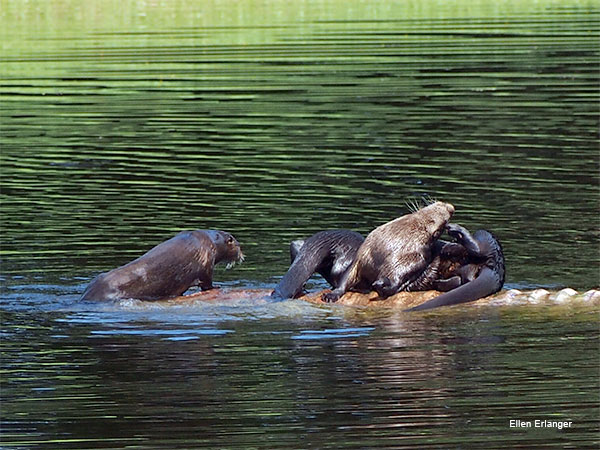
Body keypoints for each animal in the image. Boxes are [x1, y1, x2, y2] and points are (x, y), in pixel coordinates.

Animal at [79, 230, 244, 300]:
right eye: (238, 245)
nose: (241, 254)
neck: (212, 242)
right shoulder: (207, 264)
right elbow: (207, 283)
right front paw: (217, 287)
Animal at [324, 201, 454, 302]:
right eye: (441, 204)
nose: (452, 208)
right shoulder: (362, 256)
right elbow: (345, 279)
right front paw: (332, 295)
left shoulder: (410, 258)